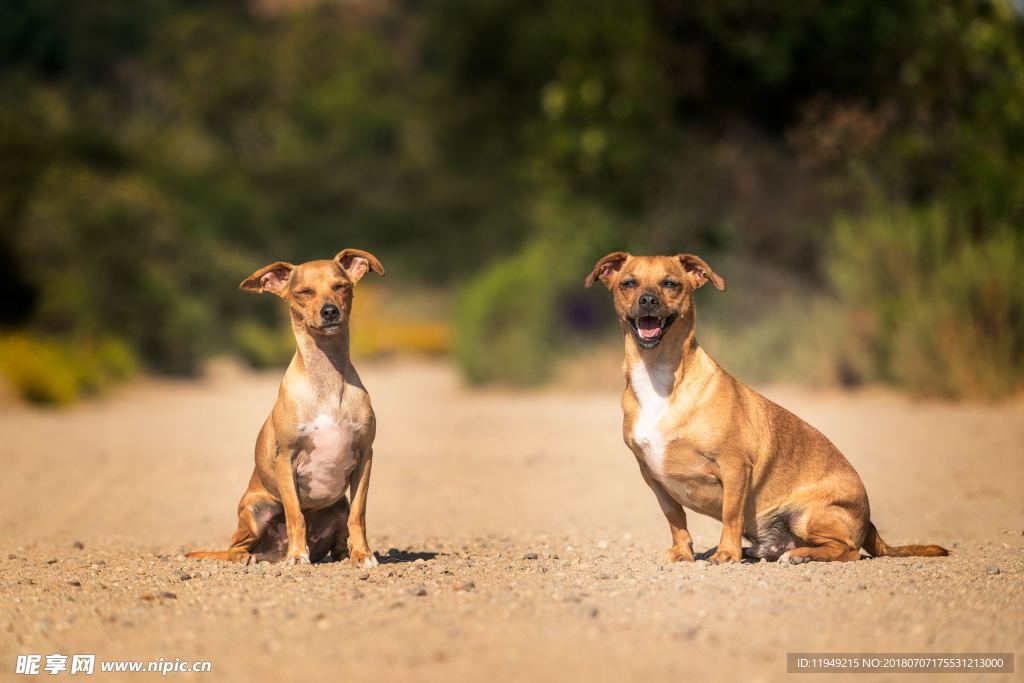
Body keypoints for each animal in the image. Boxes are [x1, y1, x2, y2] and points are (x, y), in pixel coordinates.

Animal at [188, 248, 385, 569]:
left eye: (341, 286)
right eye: (303, 292)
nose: (330, 311)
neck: (327, 379)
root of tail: (270, 551)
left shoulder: (365, 456)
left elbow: (359, 514)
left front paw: (362, 555)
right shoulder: (286, 459)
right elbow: (295, 514)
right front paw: (296, 556)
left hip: (337, 506)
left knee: (339, 534)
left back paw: (342, 554)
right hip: (256, 508)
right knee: (234, 546)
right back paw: (251, 557)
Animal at [585, 253, 942, 565]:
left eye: (671, 284)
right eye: (628, 283)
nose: (647, 300)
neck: (658, 372)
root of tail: (868, 521)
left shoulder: (734, 467)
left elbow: (730, 513)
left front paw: (726, 555)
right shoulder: (653, 477)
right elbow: (675, 518)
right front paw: (683, 553)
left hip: (806, 516)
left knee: (847, 550)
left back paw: (798, 555)